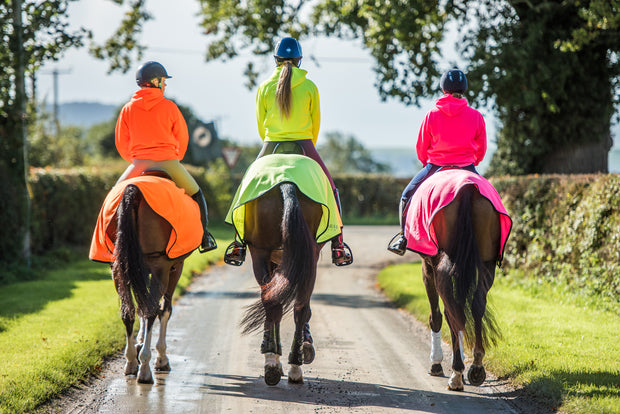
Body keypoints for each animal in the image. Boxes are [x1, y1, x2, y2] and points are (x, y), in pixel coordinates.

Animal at [111, 182, 194, 384]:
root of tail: (134, 190)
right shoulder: (174, 268)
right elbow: (164, 310)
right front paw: (161, 358)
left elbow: (141, 306)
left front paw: (139, 343)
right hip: (161, 268)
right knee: (152, 311)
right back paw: (145, 367)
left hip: (118, 269)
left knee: (128, 312)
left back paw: (131, 361)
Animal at [239, 183, 324, 386]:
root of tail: (288, 184)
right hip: (308, 257)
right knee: (299, 307)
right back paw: (292, 364)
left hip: (260, 252)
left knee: (274, 303)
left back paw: (274, 361)